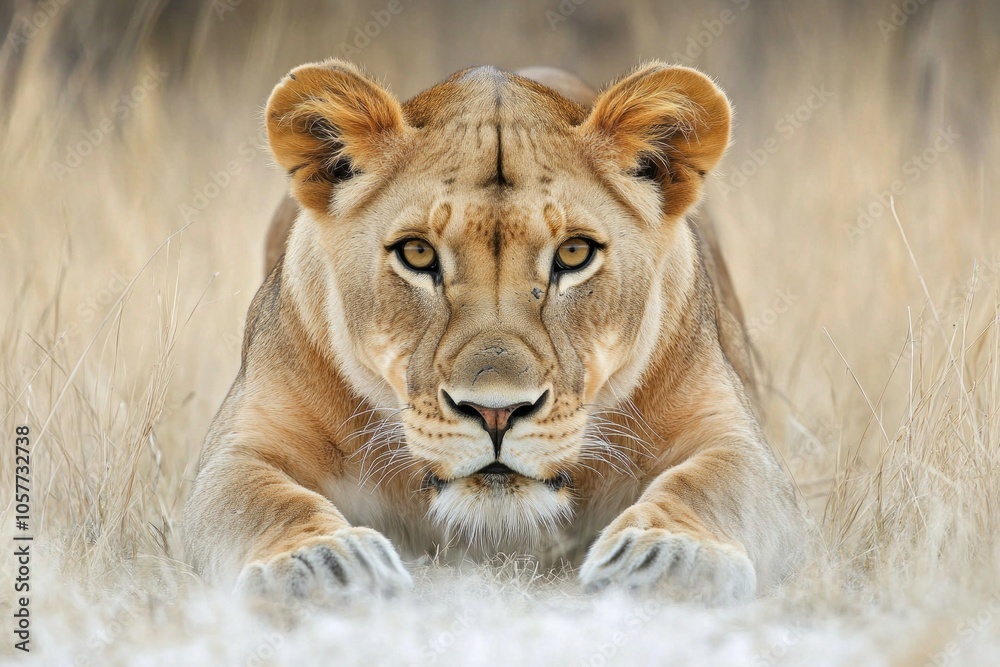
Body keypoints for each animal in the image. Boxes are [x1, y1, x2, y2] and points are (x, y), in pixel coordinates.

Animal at [184, 59, 805, 604]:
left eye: (574, 254)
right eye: (417, 254)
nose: (497, 413)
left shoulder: (734, 436)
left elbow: (712, 485)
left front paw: (668, 557)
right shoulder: (242, 446)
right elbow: (259, 499)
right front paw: (322, 564)